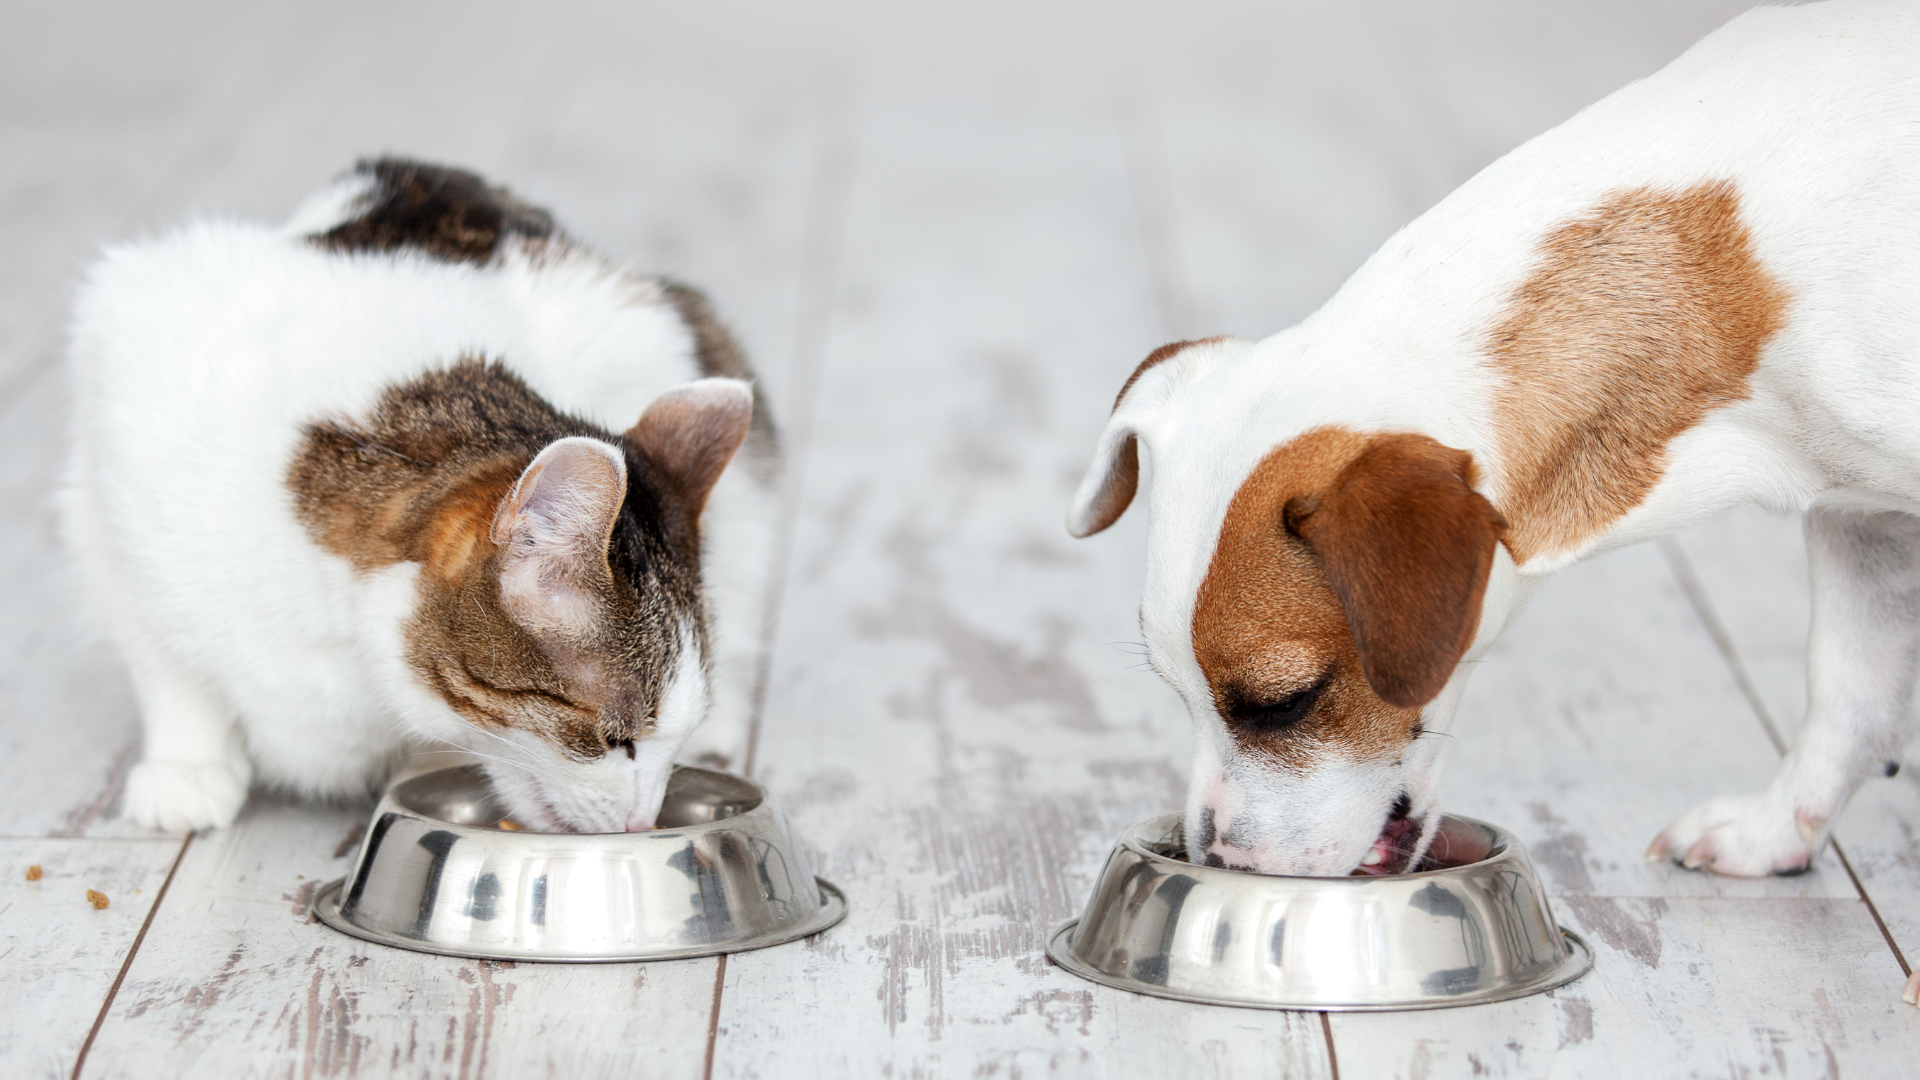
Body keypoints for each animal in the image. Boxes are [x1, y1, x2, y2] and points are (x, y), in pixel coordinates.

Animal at [63, 159, 775, 834]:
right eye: (615, 739)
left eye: (665, 740)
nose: (642, 821)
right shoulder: (114, 455)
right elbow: (161, 654)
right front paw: (187, 761)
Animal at [1067, 4, 1920, 999]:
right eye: (1177, 692)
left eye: (1285, 703)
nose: (1220, 863)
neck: (1734, 262)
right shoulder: (1862, 520)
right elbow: (1848, 691)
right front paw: (1777, 826)